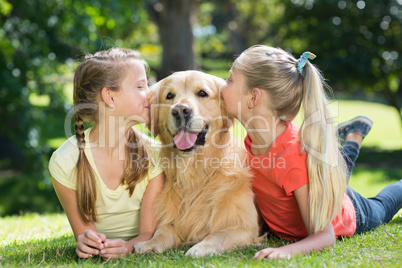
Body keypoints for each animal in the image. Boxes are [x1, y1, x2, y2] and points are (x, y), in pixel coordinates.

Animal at [134, 70, 260, 256]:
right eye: (169, 96)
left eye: (202, 93)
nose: (180, 110)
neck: (195, 174)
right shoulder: (171, 219)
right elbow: (163, 230)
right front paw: (150, 243)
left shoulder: (246, 227)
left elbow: (218, 235)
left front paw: (200, 248)